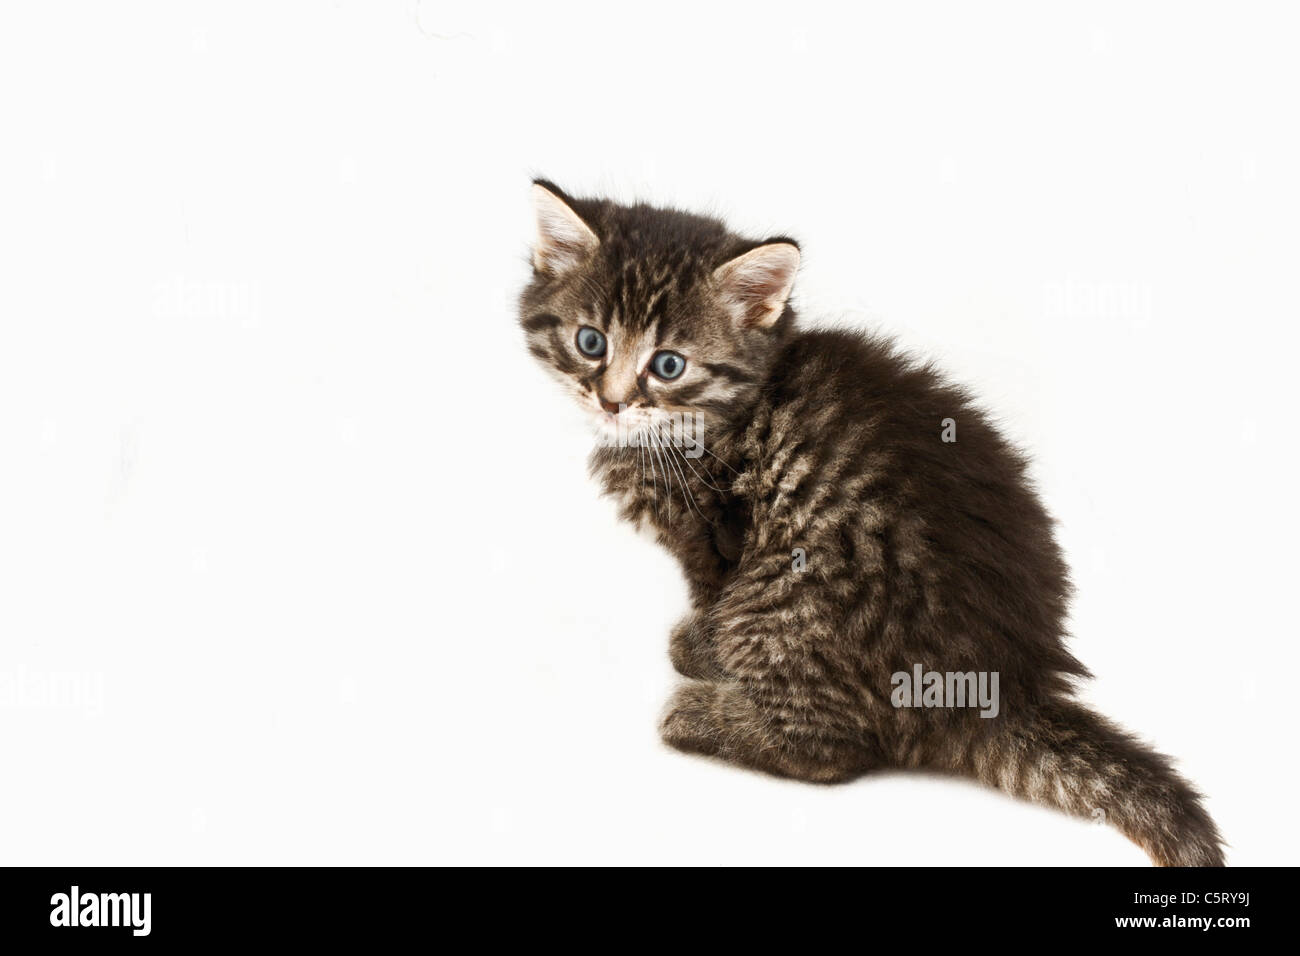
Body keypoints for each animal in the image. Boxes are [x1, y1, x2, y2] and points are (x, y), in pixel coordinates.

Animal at [520, 179, 1227, 868]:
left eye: (668, 364)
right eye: (590, 342)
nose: (611, 401)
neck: (719, 413)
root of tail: (1001, 690)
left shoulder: (716, 536)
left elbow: (713, 599)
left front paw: (701, 650)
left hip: (795, 592)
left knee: (834, 753)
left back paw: (702, 716)